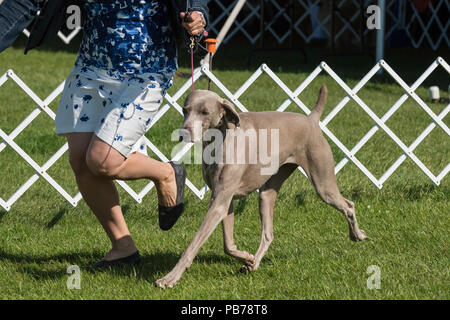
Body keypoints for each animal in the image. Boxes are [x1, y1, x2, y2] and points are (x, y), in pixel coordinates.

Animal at [156, 86, 366, 288]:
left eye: (205, 112)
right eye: (185, 110)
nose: (183, 133)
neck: (220, 139)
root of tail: (310, 119)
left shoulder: (220, 202)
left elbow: (194, 244)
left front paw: (169, 278)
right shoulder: (224, 199)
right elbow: (228, 244)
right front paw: (247, 258)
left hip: (323, 183)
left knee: (348, 205)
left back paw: (357, 235)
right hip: (266, 193)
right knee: (268, 233)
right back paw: (254, 263)